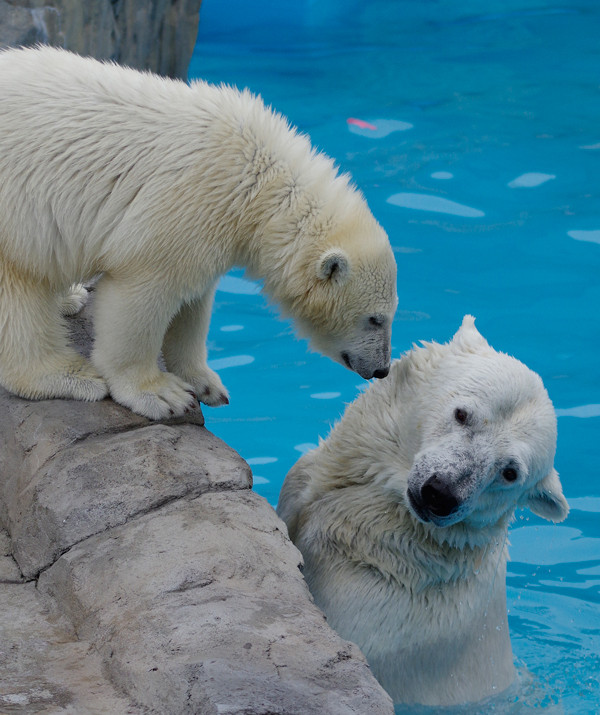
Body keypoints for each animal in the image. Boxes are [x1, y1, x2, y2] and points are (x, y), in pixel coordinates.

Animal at [0, 47, 396, 420]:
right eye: (376, 319)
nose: (382, 369)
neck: (260, 180)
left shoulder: (211, 227)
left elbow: (193, 304)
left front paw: (207, 383)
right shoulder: (189, 202)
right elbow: (142, 296)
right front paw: (161, 395)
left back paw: (70, 297)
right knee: (19, 293)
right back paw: (66, 375)